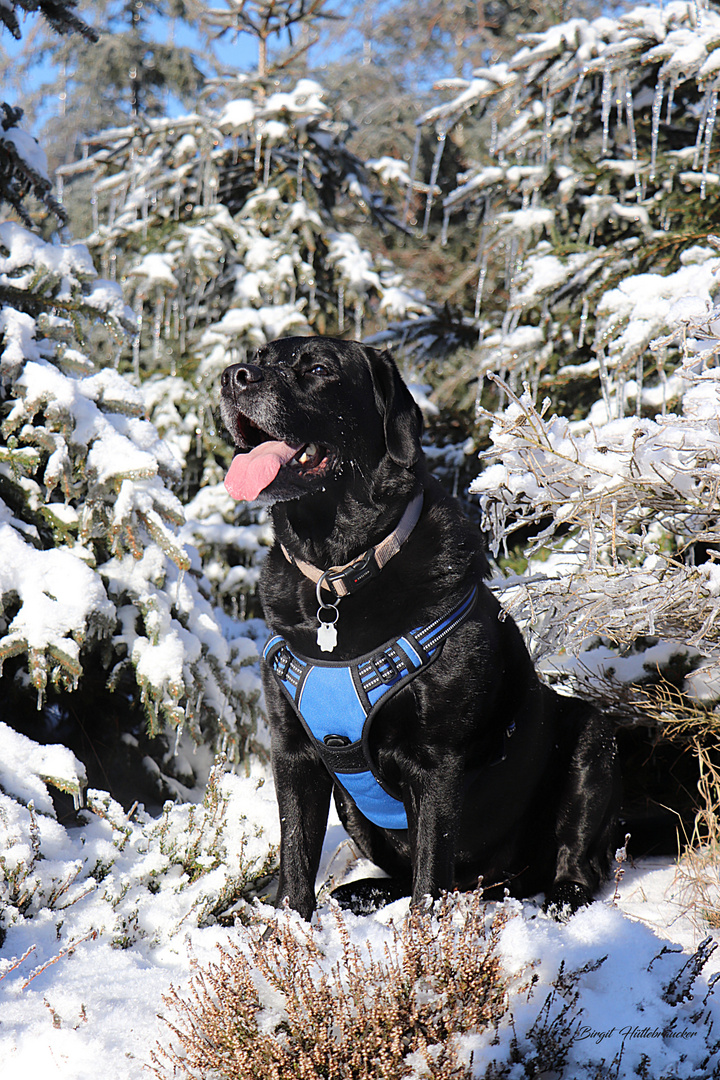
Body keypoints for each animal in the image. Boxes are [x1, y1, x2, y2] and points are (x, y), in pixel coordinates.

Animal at [220, 336, 621, 920]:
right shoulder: (292, 751)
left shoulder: (437, 763)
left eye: (318, 369)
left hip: (593, 738)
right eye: (258, 357)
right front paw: (285, 931)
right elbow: (295, 858)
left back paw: (563, 897)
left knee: (576, 856)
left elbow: (431, 879)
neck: (339, 574)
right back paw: (362, 893)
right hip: (355, 811)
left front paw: (423, 942)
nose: (232, 376)